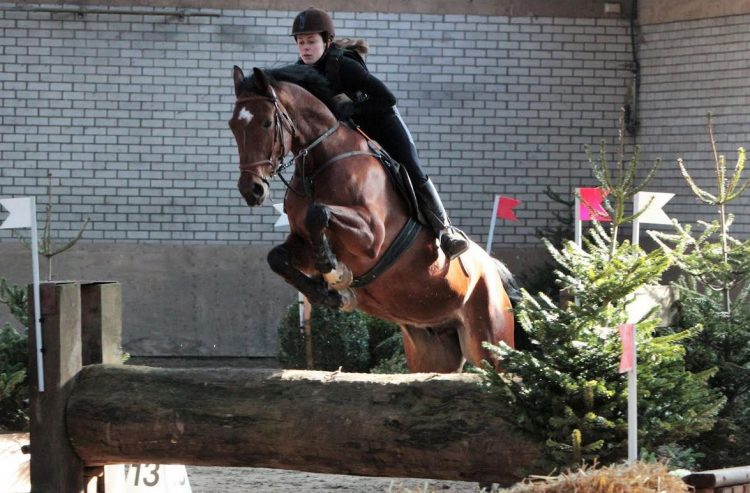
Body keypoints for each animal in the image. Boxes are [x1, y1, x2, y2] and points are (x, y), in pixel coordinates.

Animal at [232, 66, 520, 372]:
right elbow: (277, 257)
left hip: (492, 342)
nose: (252, 190)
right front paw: (329, 293)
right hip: (431, 352)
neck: (319, 164)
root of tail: (493, 270)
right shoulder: (302, 243)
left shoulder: (371, 237)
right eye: (233, 126)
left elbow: (318, 213)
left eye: (266, 123)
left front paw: (332, 269)